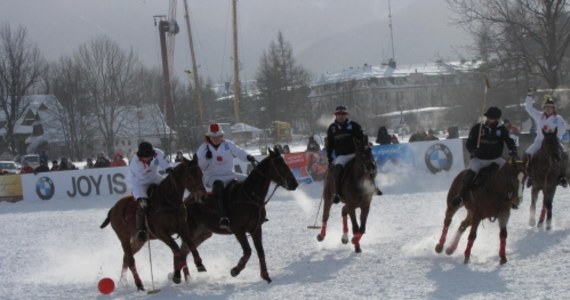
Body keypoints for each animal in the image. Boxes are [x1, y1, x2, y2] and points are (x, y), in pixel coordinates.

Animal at [99, 156, 206, 292]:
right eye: (190, 176)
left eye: (201, 173)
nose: (203, 195)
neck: (168, 200)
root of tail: (113, 209)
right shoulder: (161, 233)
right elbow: (177, 249)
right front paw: (178, 276)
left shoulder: (182, 228)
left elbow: (190, 245)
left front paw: (198, 265)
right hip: (123, 237)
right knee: (130, 259)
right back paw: (139, 284)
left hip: (140, 240)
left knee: (126, 256)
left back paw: (124, 281)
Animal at [181, 147, 298, 284]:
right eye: (279, 165)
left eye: (285, 163)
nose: (294, 184)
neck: (250, 196)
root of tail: (184, 201)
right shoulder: (238, 231)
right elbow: (248, 251)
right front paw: (235, 270)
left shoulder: (256, 229)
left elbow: (260, 251)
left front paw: (265, 275)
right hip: (190, 230)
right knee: (182, 252)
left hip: (202, 233)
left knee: (184, 252)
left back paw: (185, 278)